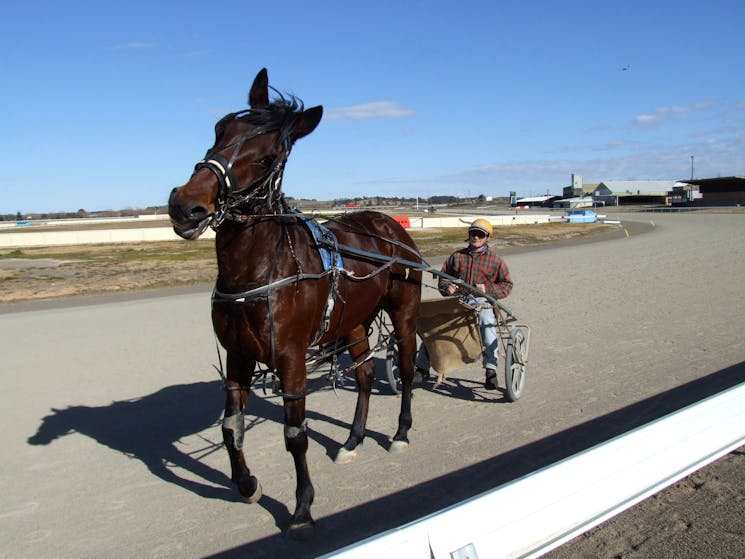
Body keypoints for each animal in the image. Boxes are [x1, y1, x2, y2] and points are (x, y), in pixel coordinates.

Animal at [170, 68, 424, 540]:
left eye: (268, 157)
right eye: (219, 129)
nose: (186, 204)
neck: (255, 272)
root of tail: (390, 225)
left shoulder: (290, 357)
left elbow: (295, 433)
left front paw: (303, 506)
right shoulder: (237, 355)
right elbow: (231, 428)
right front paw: (247, 484)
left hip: (404, 312)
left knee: (407, 364)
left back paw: (400, 433)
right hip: (352, 320)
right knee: (364, 375)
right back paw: (352, 440)